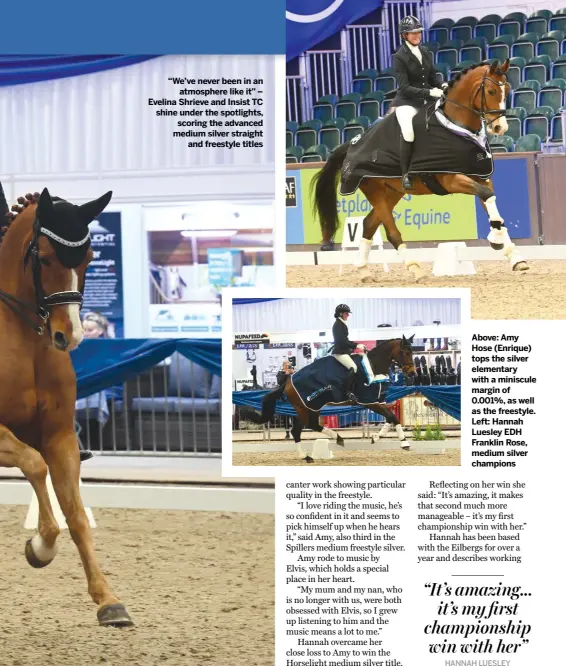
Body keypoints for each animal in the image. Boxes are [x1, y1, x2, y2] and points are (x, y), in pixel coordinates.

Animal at [0, 185, 134, 624]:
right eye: (43, 258)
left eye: (90, 258)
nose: (68, 336)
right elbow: (34, 465)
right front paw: (41, 547)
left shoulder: (60, 437)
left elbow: (75, 513)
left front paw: (109, 600)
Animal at [312, 58, 532, 282]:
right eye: (491, 91)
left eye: (507, 89)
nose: (500, 128)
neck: (457, 126)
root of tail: (353, 144)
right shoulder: (452, 179)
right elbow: (487, 196)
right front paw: (496, 240)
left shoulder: (480, 177)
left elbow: (491, 201)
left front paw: (514, 256)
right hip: (374, 188)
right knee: (391, 232)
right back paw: (414, 268)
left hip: (392, 191)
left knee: (368, 224)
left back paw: (364, 270)